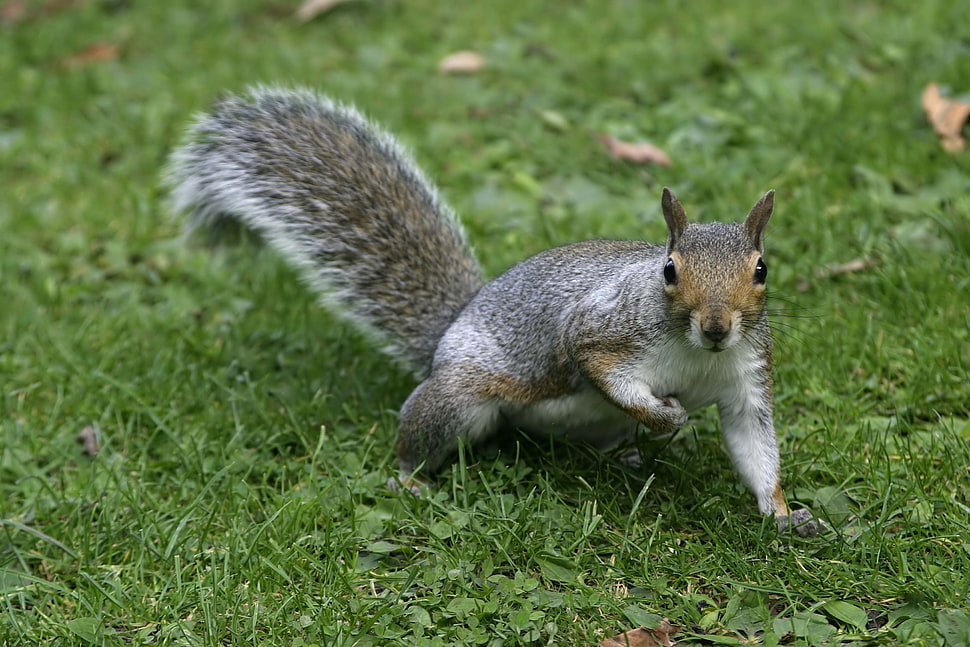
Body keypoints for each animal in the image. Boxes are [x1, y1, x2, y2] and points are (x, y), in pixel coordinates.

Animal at [166, 86, 819, 536]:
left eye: (762, 270)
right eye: (669, 270)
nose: (716, 327)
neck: (696, 354)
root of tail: (446, 335)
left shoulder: (746, 380)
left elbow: (755, 448)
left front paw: (784, 514)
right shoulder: (600, 330)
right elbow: (601, 369)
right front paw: (666, 417)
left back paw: (629, 456)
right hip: (458, 400)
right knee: (423, 435)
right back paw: (410, 479)